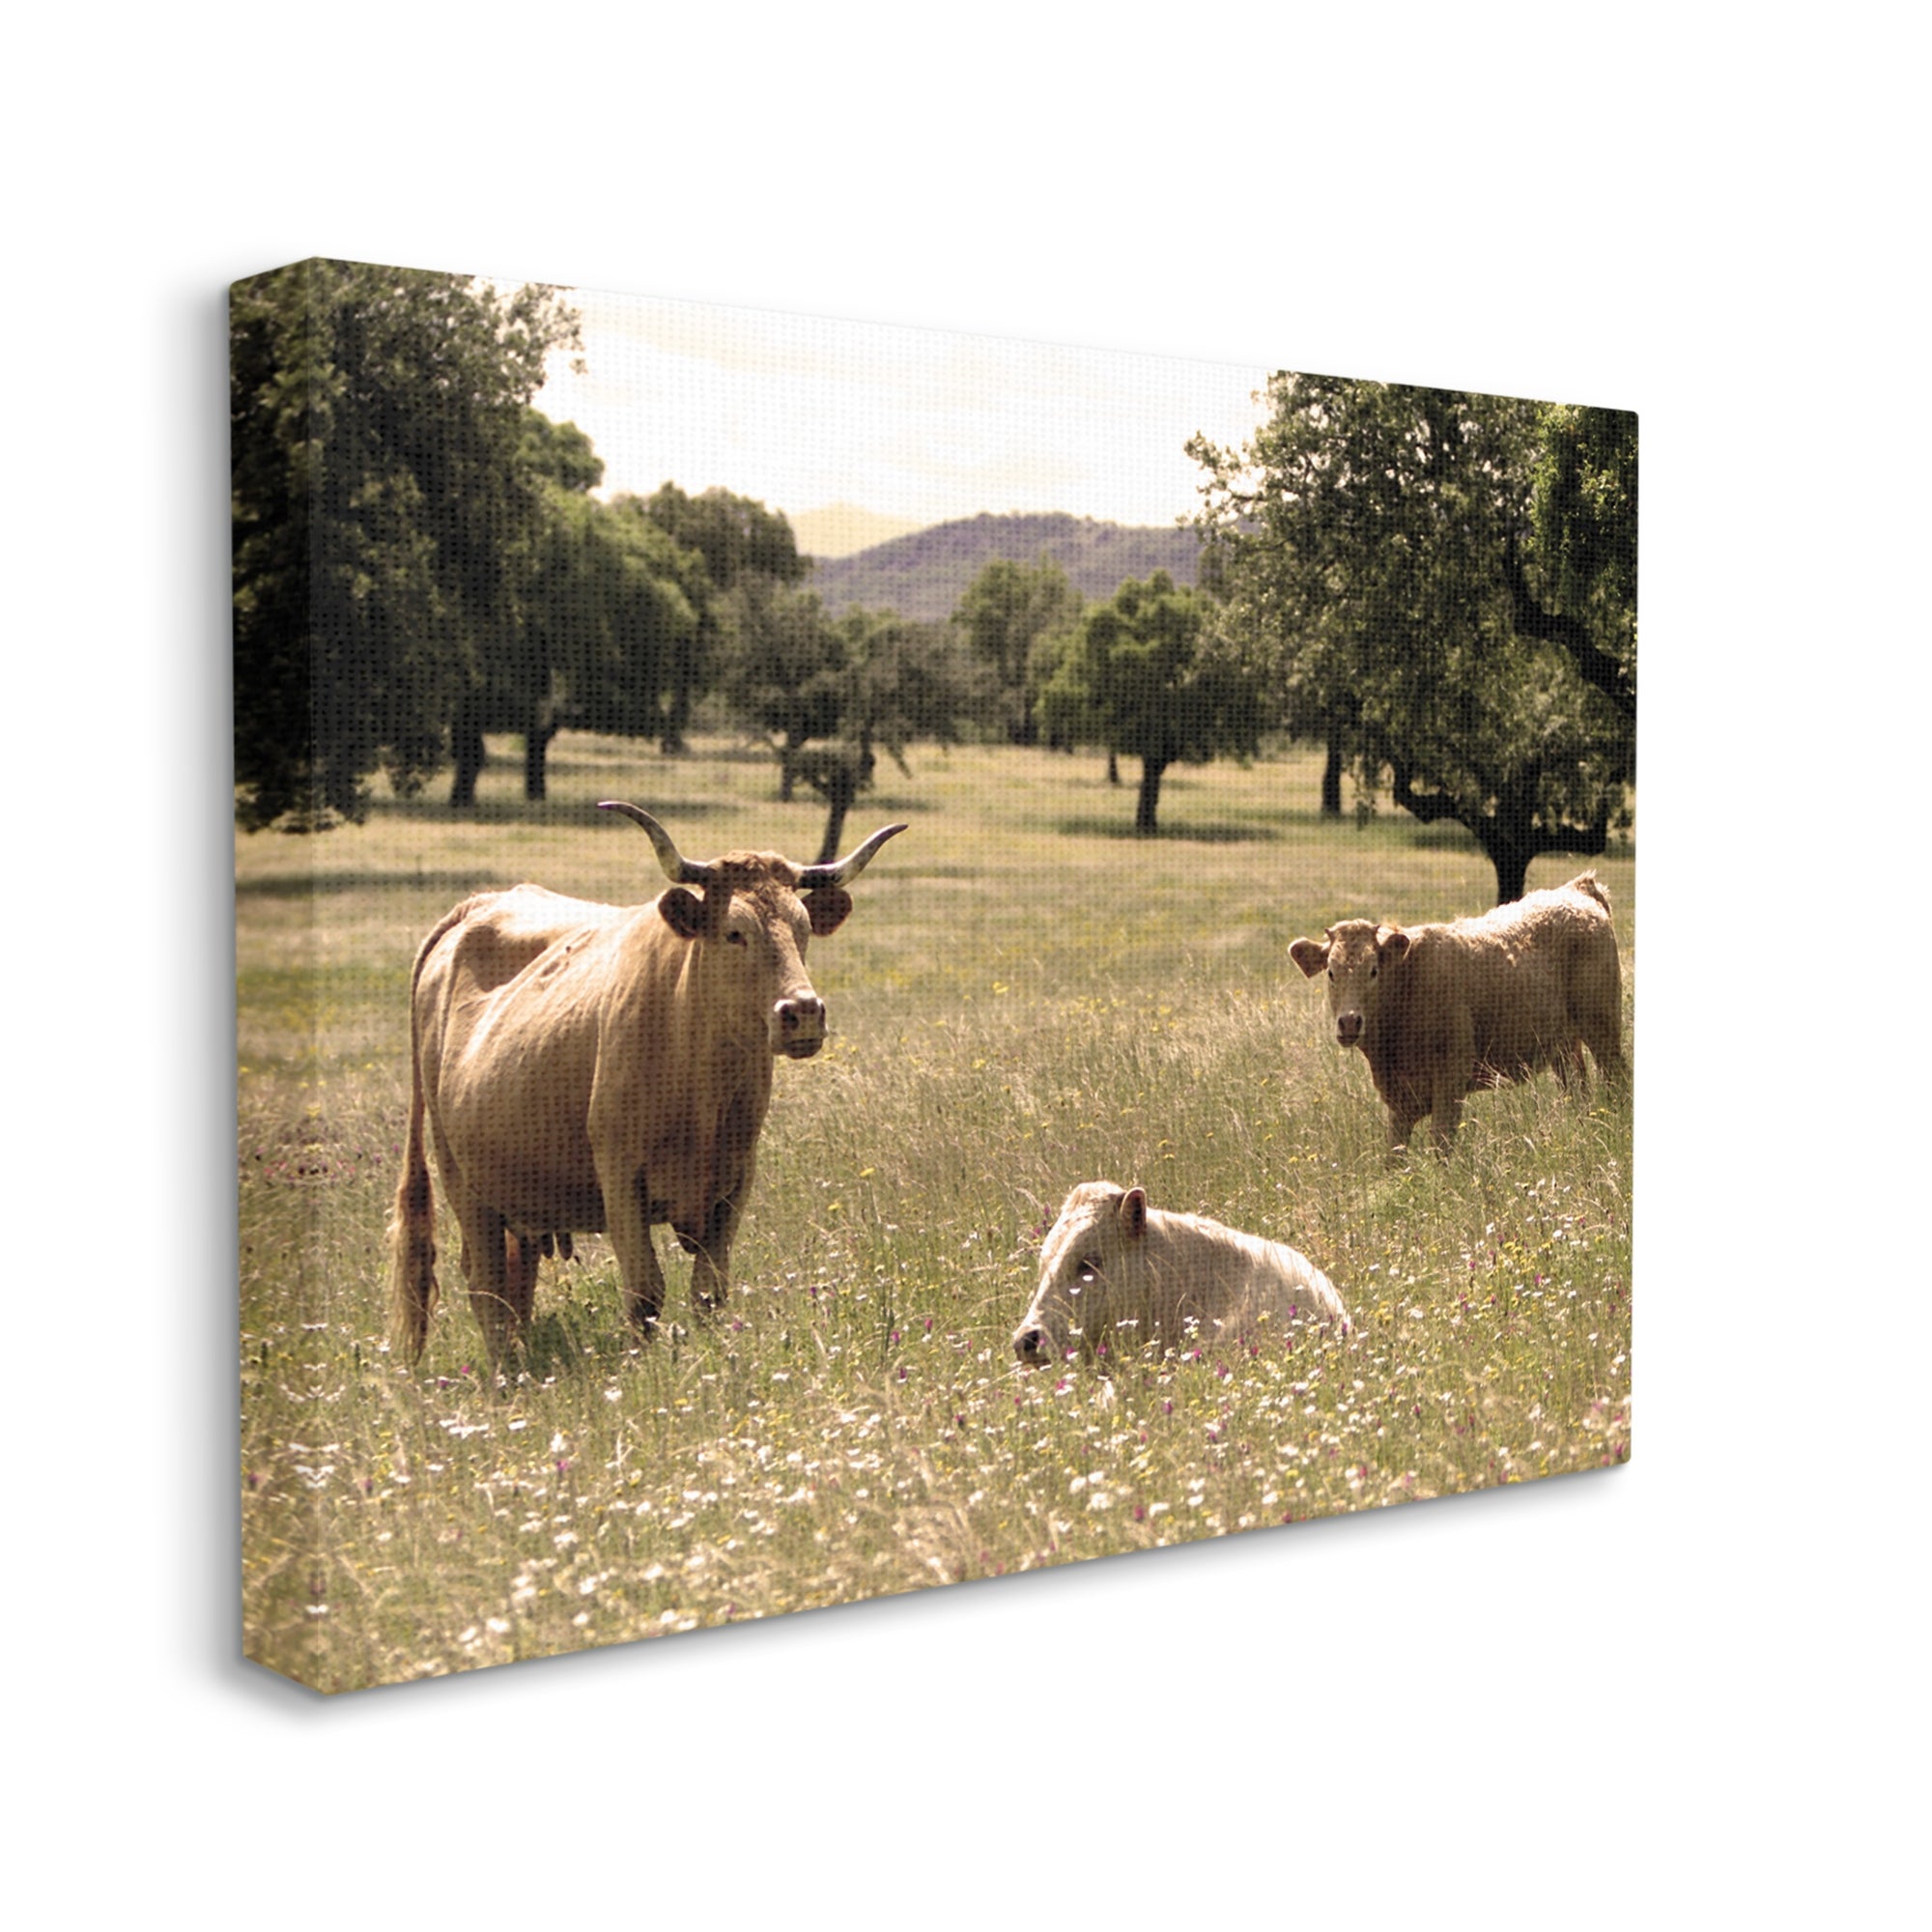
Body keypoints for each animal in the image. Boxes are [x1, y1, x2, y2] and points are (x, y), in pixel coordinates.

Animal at [387, 803, 905, 1364]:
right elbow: (645, 1291)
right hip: (459, 1176)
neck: (699, 1087)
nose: (804, 1012)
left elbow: (709, 1291)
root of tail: (478, 904)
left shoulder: (735, 1180)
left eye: (804, 929)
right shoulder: (620, 1177)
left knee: (513, 1281)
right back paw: (507, 1372)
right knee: (485, 1283)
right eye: (734, 932)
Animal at [1287, 871, 1625, 1155]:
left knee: (1615, 1078)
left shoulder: (1450, 1081)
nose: (1349, 1022)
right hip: (1564, 1045)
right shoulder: (1399, 1103)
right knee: (1577, 1088)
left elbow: (1441, 1145)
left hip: (1603, 1029)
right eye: (1331, 972)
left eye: (1373, 971)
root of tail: (1577, 889)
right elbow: (1394, 1155)